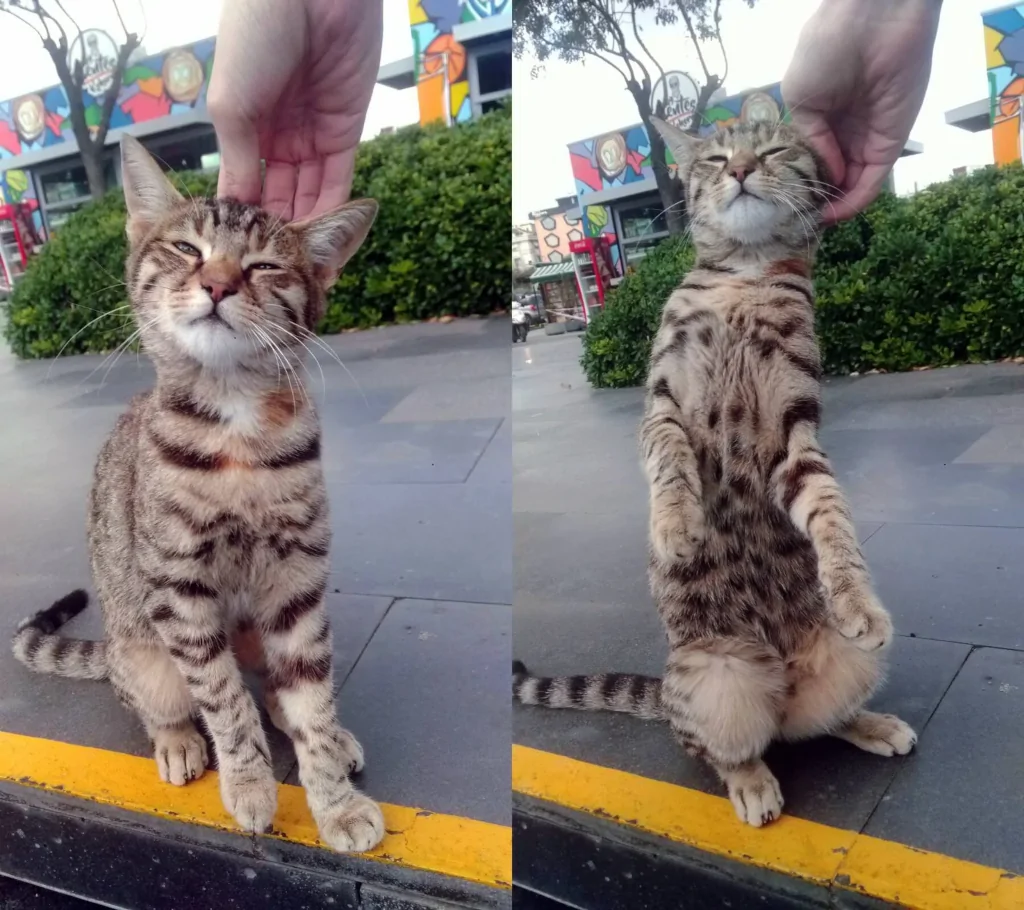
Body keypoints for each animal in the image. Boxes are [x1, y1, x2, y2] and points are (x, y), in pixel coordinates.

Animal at [12, 137, 385, 851]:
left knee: (282, 686)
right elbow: (223, 699)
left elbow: (310, 695)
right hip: (142, 652)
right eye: (187, 249)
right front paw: (250, 783)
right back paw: (179, 739)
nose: (217, 283)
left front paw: (334, 800)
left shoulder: (296, 582)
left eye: (264, 265)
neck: (235, 421)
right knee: (163, 700)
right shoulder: (178, 589)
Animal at [516, 117, 917, 827]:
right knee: (728, 748)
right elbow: (670, 462)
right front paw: (677, 525)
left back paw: (869, 723)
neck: (745, 278)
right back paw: (751, 781)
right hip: (714, 682)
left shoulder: (795, 430)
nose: (742, 168)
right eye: (715, 156)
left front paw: (854, 595)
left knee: (814, 720)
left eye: (777, 147)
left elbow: (831, 512)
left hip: (843, 666)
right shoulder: (663, 403)